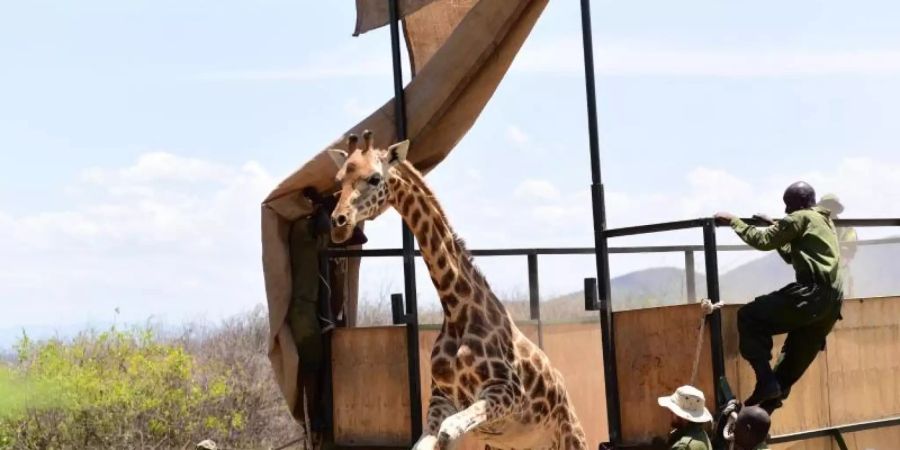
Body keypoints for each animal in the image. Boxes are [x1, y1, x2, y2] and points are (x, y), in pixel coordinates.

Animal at [326, 131, 588, 450]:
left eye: (375, 178)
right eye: (339, 179)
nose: (339, 223)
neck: (455, 308)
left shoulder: (507, 391)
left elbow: (448, 431)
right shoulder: (442, 400)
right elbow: (428, 440)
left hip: (571, 436)